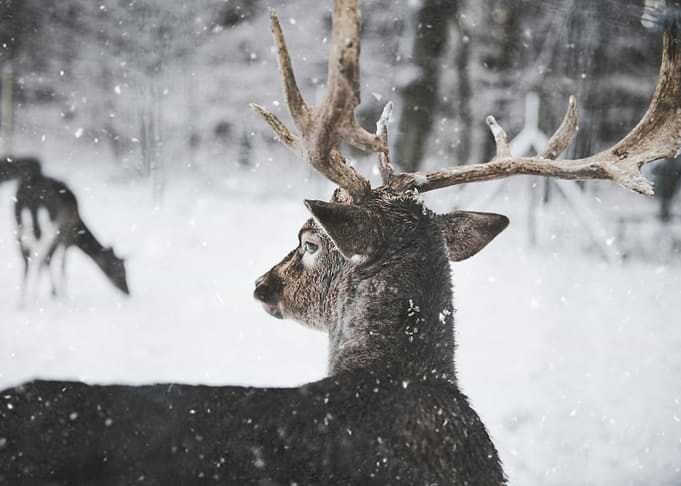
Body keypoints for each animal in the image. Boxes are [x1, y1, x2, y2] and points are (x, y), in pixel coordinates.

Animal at [0, 156, 129, 305]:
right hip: (48, 224)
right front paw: (60, 295)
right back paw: (32, 296)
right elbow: (60, 264)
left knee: (27, 253)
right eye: (120, 270)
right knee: (39, 254)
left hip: (20, 218)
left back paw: (23, 301)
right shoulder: (65, 237)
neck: (78, 234)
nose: (128, 292)